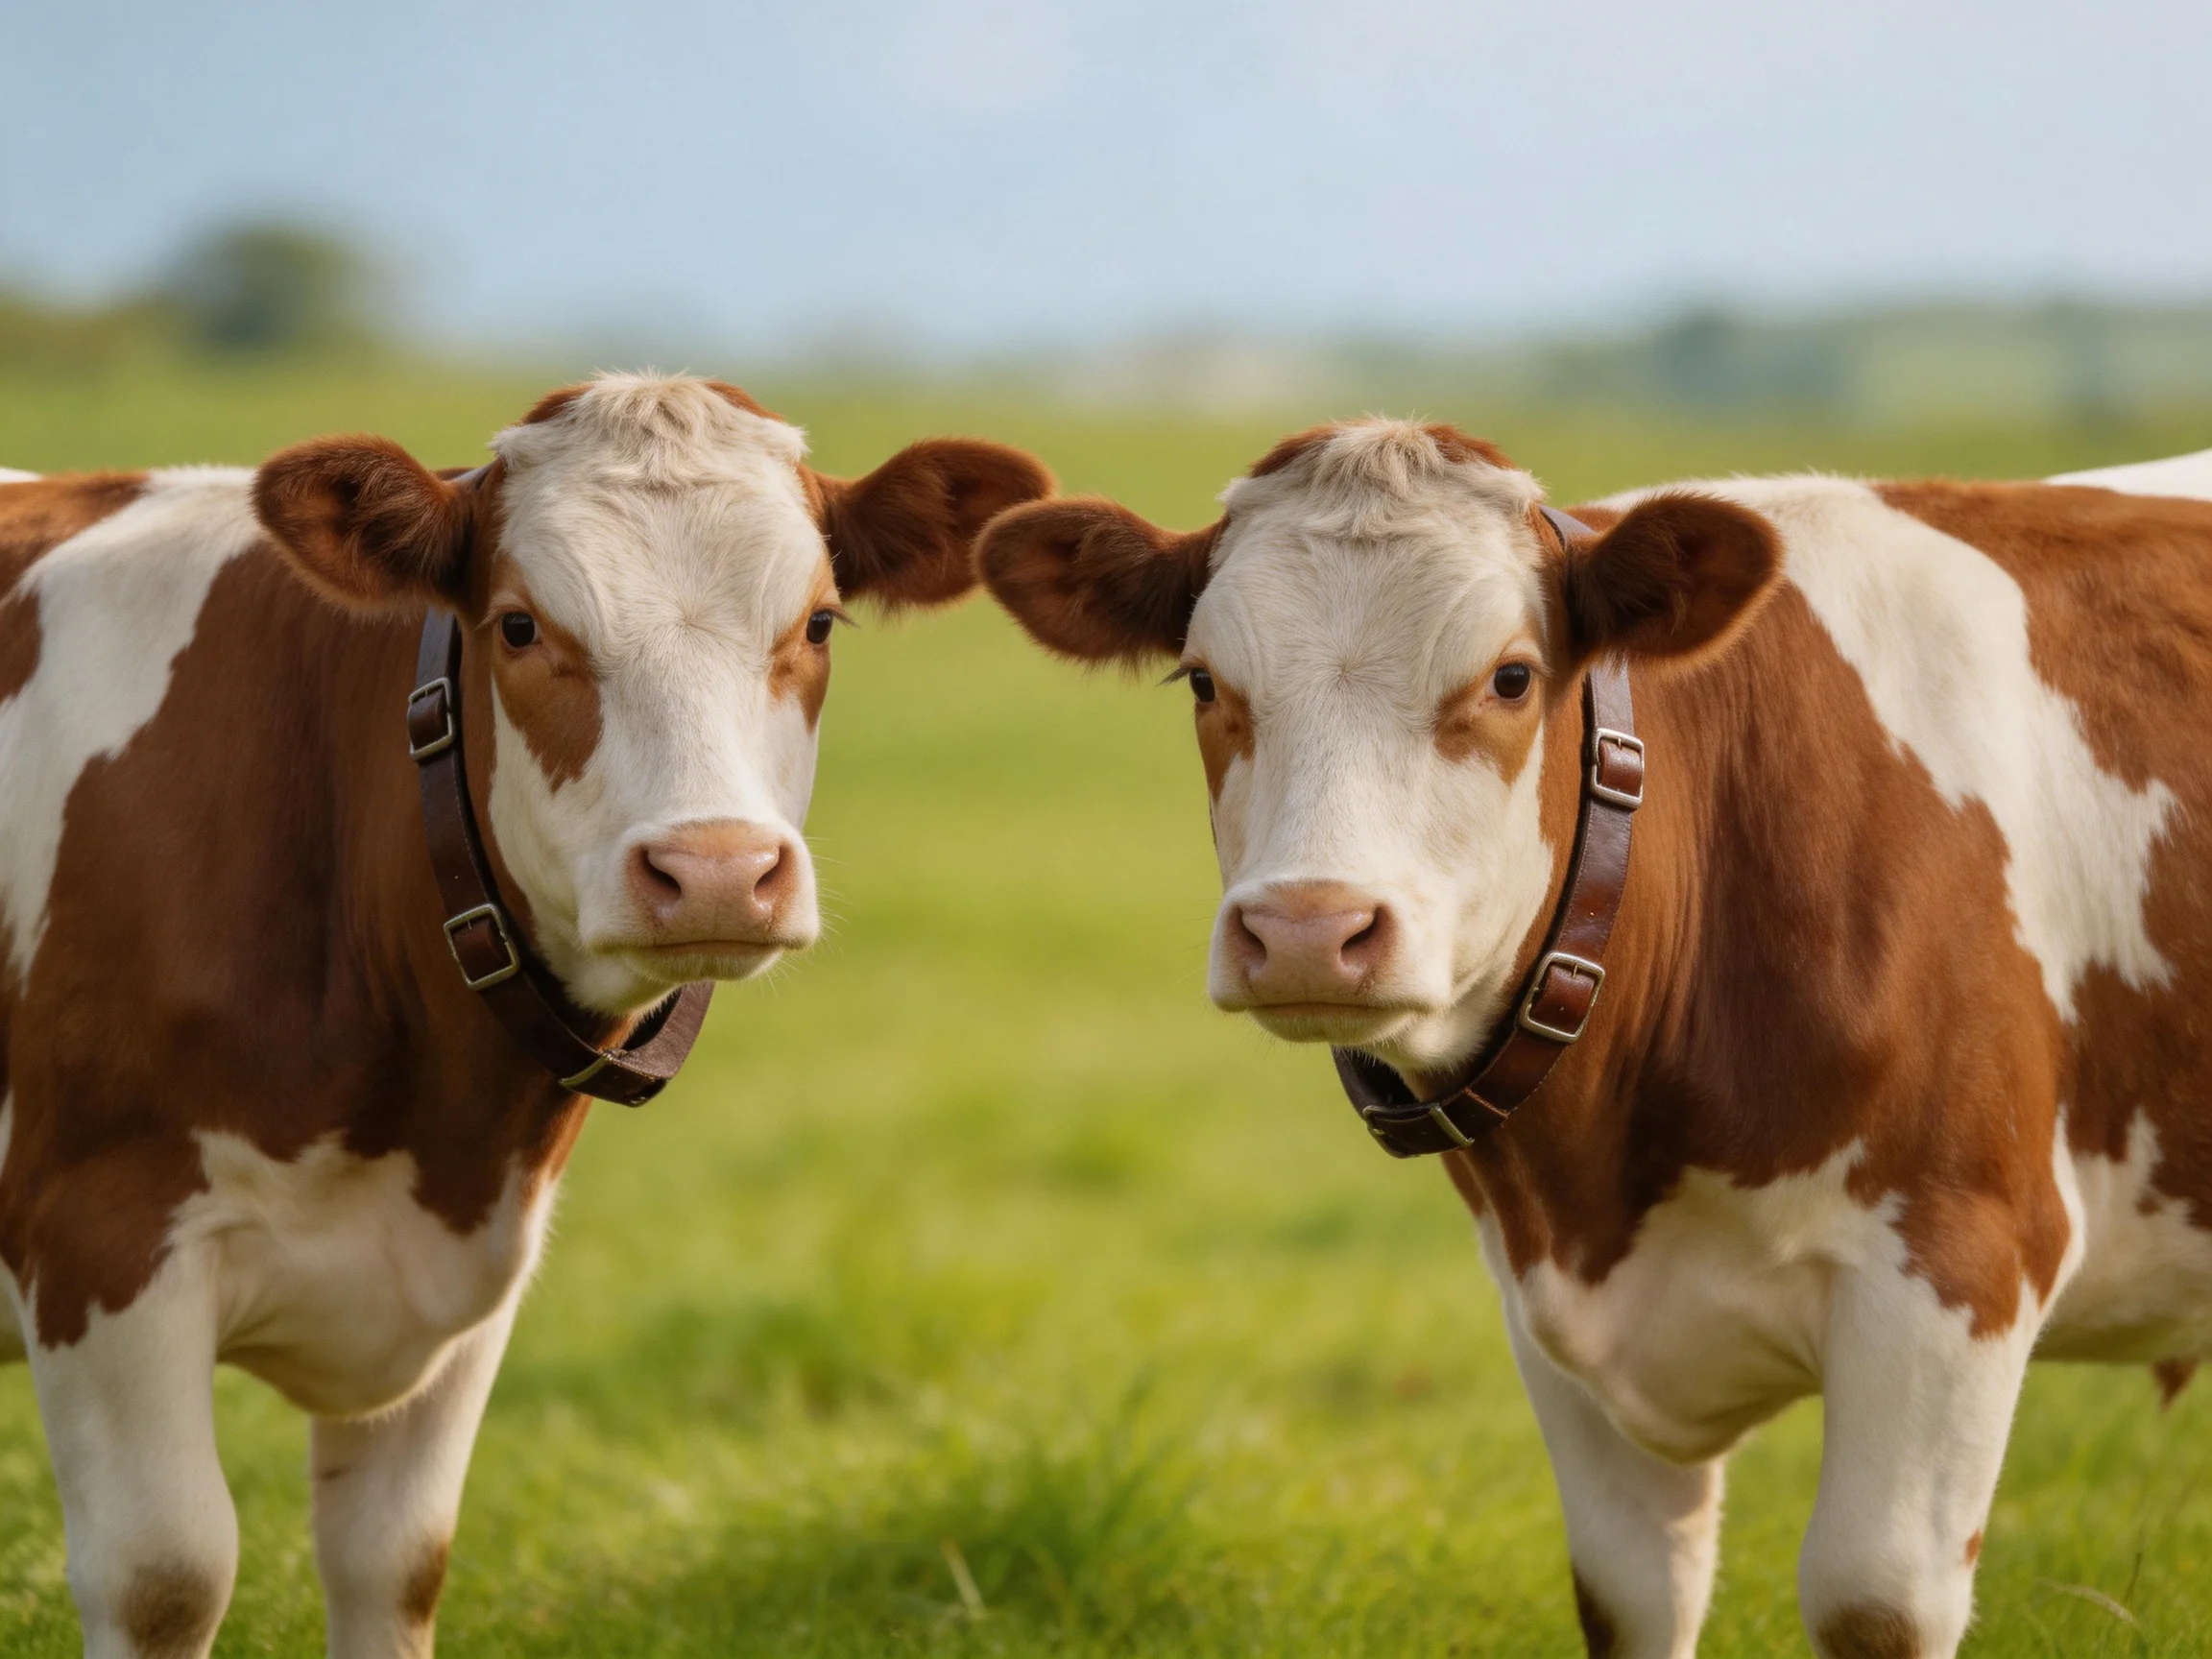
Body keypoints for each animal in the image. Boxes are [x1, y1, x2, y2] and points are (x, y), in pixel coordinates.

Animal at [0, 374, 1049, 1659]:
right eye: (517, 625)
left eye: (818, 624)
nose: (715, 871)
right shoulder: (96, 1238)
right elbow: (167, 1574)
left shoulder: (463, 1278)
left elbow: (394, 1563)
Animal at [978, 424, 2212, 1659]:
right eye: (1203, 680)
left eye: (1512, 677)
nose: (1306, 931)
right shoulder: (1552, 1325)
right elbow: (1631, 1597)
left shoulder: (1960, 1256)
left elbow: (1872, 1604)